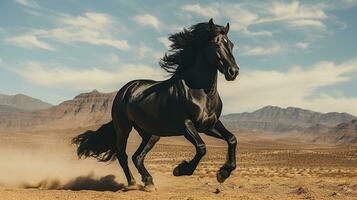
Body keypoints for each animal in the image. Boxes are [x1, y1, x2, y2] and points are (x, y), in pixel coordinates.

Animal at [72, 19, 239, 192]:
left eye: (231, 44)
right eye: (216, 44)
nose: (233, 71)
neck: (202, 93)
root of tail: (126, 89)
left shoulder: (210, 125)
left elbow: (232, 139)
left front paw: (223, 173)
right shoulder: (186, 125)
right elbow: (201, 147)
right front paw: (180, 170)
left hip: (150, 134)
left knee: (137, 156)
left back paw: (149, 182)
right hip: (123, 128)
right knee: (122, 155)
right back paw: (132, 183)